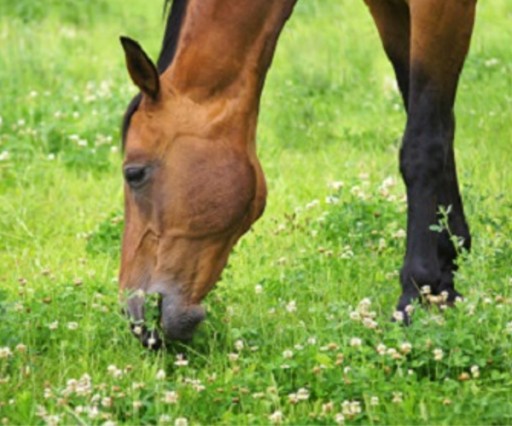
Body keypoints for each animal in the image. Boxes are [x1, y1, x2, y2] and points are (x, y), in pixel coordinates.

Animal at [119, 0, 476, 348]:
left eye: (134, 173)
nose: (134, 317)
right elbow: (433, 120)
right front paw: (447, 279)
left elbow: (422, 141)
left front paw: (416, 294)